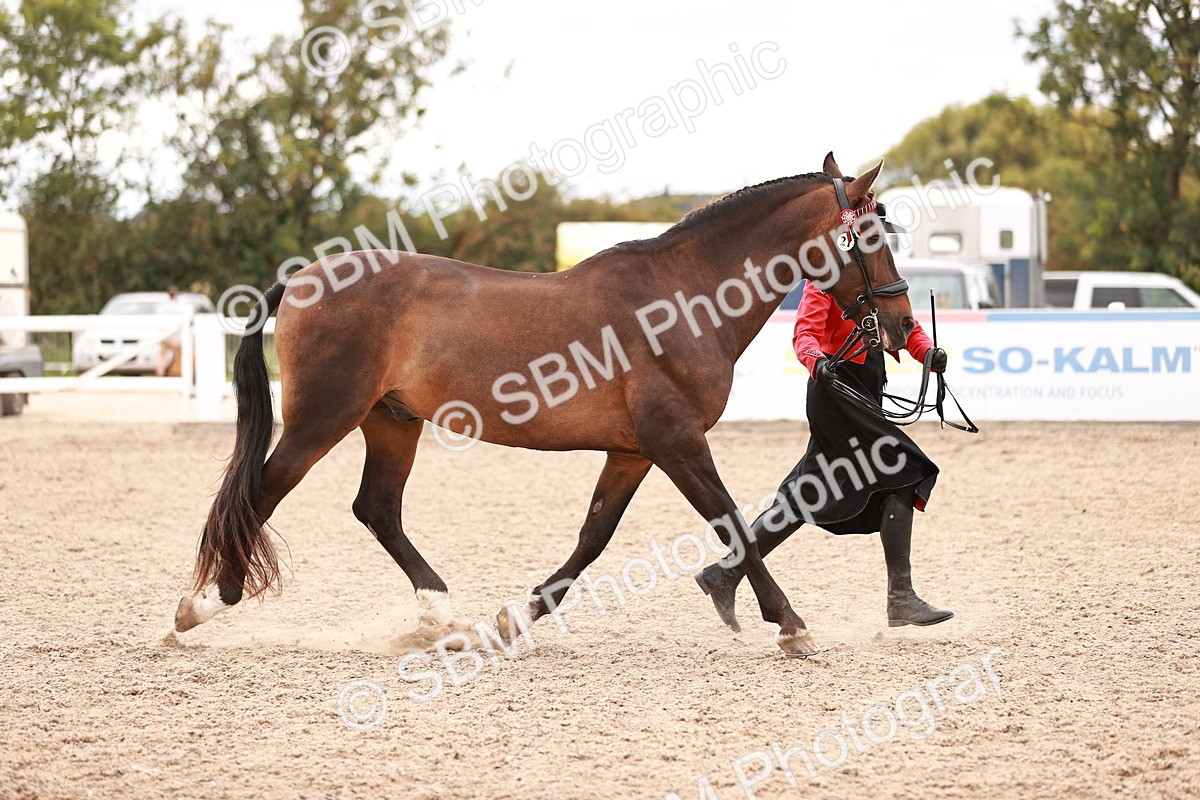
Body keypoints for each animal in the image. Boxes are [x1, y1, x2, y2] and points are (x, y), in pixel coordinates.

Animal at [174, 153, 917, 656]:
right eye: (872, 238)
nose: (904, 324)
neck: (684, 297)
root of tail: (303, 277)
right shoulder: (677, 442)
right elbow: (729, 520)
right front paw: (791, 625)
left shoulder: (633, 451)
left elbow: (592, 538)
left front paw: (515, 620)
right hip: (321, 420)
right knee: (261, 493)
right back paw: (203, 605)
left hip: (391, 422)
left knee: (376, 508)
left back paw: (444, 616)